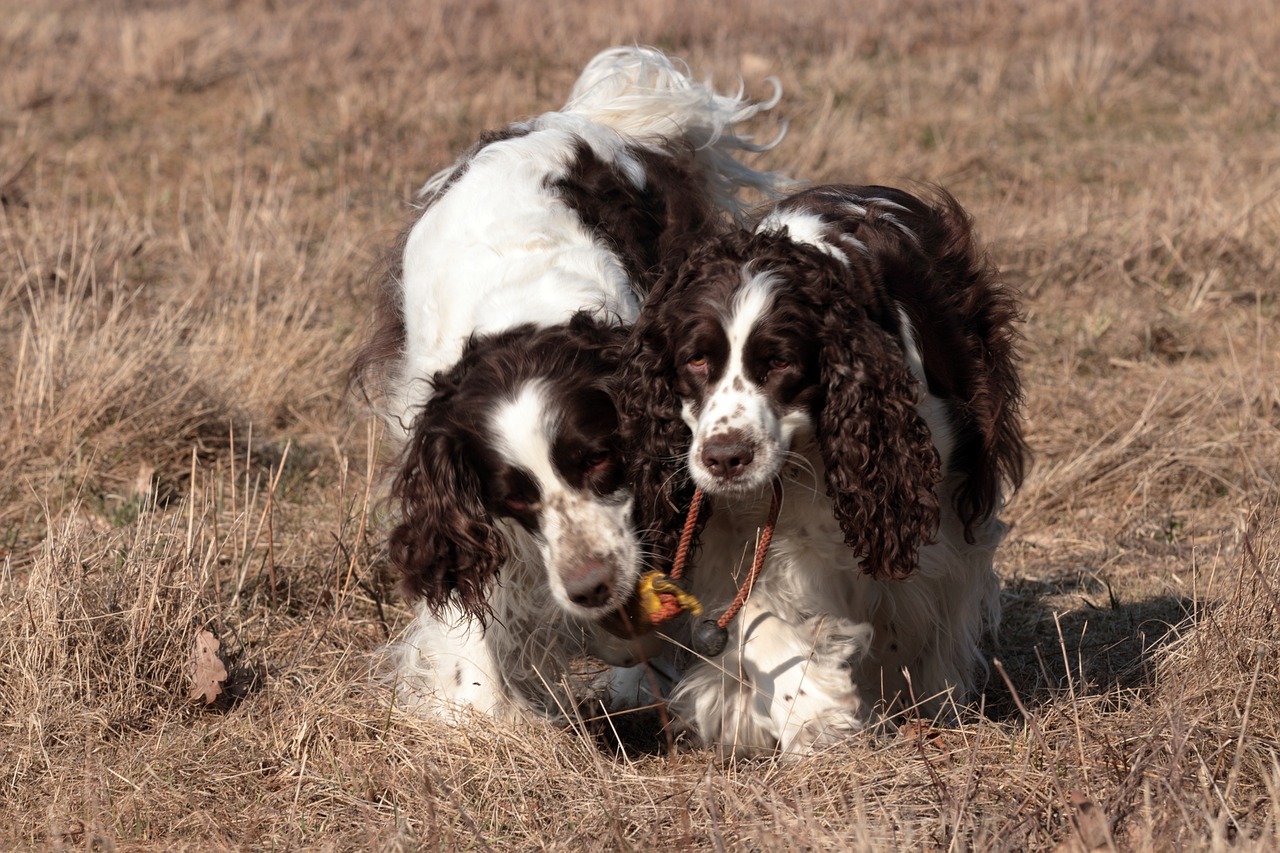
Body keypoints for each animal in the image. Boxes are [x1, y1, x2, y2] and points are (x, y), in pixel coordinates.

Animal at [353, 46, 788, 722]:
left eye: (600, 461)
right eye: (512, 496)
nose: (590, 588)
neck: (520, 327)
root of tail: (576, 117)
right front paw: (480, 714)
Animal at [619, 183, 1029, 753]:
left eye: (780, 362)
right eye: (695, 360)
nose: (725, 458)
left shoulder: (916, 513)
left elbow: (908, 607)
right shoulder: (735, 534)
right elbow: (760, 620)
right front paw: (810, 713)